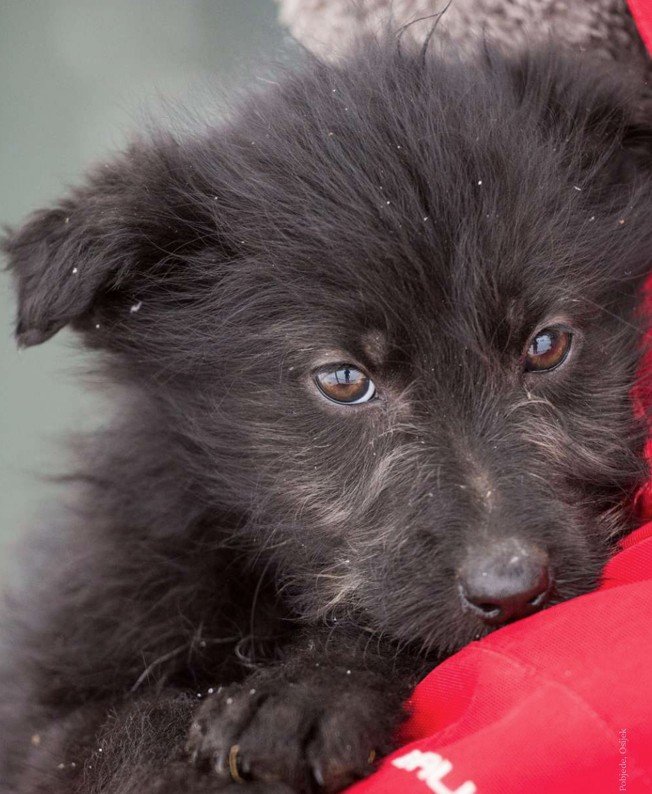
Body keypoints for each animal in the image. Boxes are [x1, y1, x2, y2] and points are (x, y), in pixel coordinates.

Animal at [1, 37, 651, 794]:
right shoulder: (41, 706)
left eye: (546, 345)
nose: (513, 588)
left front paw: (302, 693)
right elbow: (107, 736)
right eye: (343, 380)